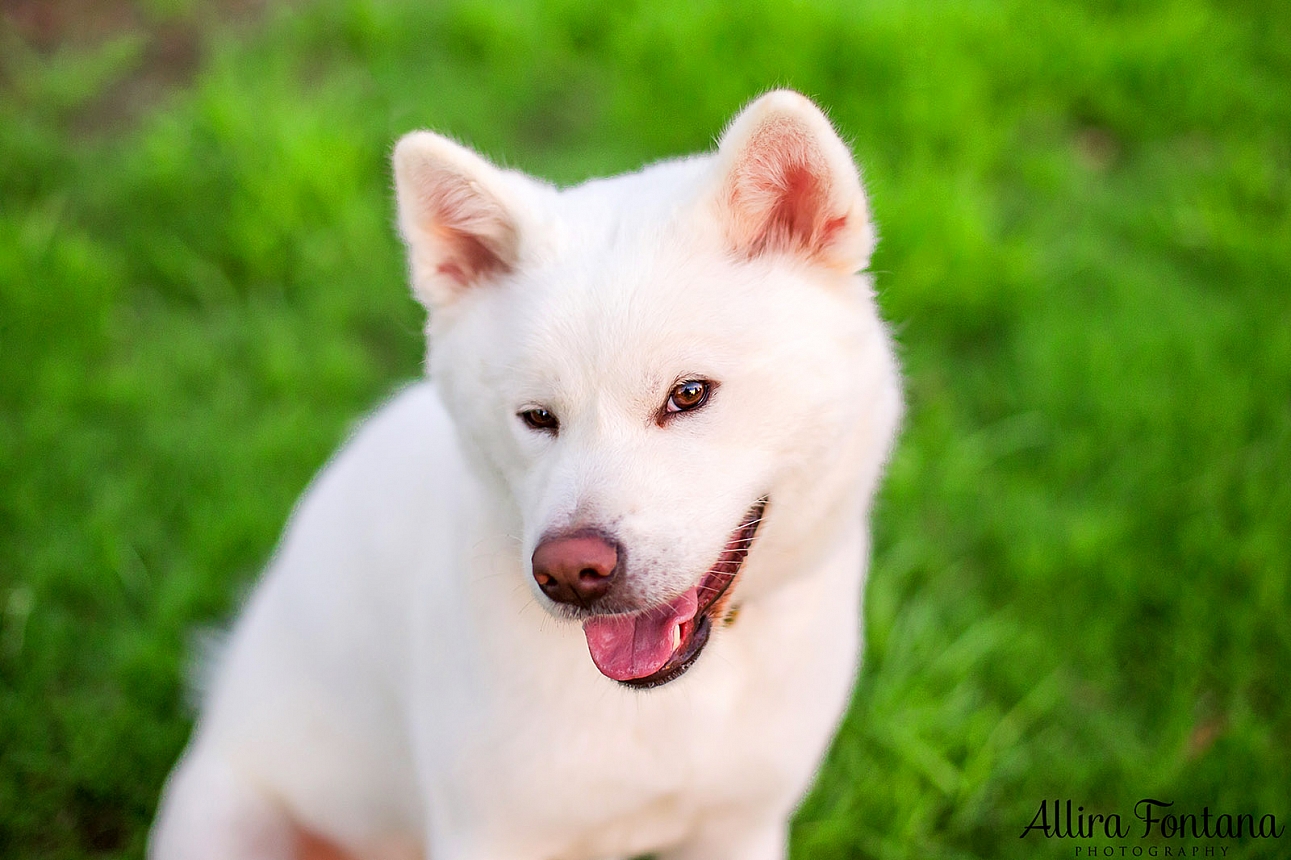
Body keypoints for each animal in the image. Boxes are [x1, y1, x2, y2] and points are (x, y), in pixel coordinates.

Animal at [148, 88, 898, 857]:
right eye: (536, 416)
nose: (571, 571)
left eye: (688, 394)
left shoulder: (741, 828)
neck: (664, 703)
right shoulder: (487, 833)